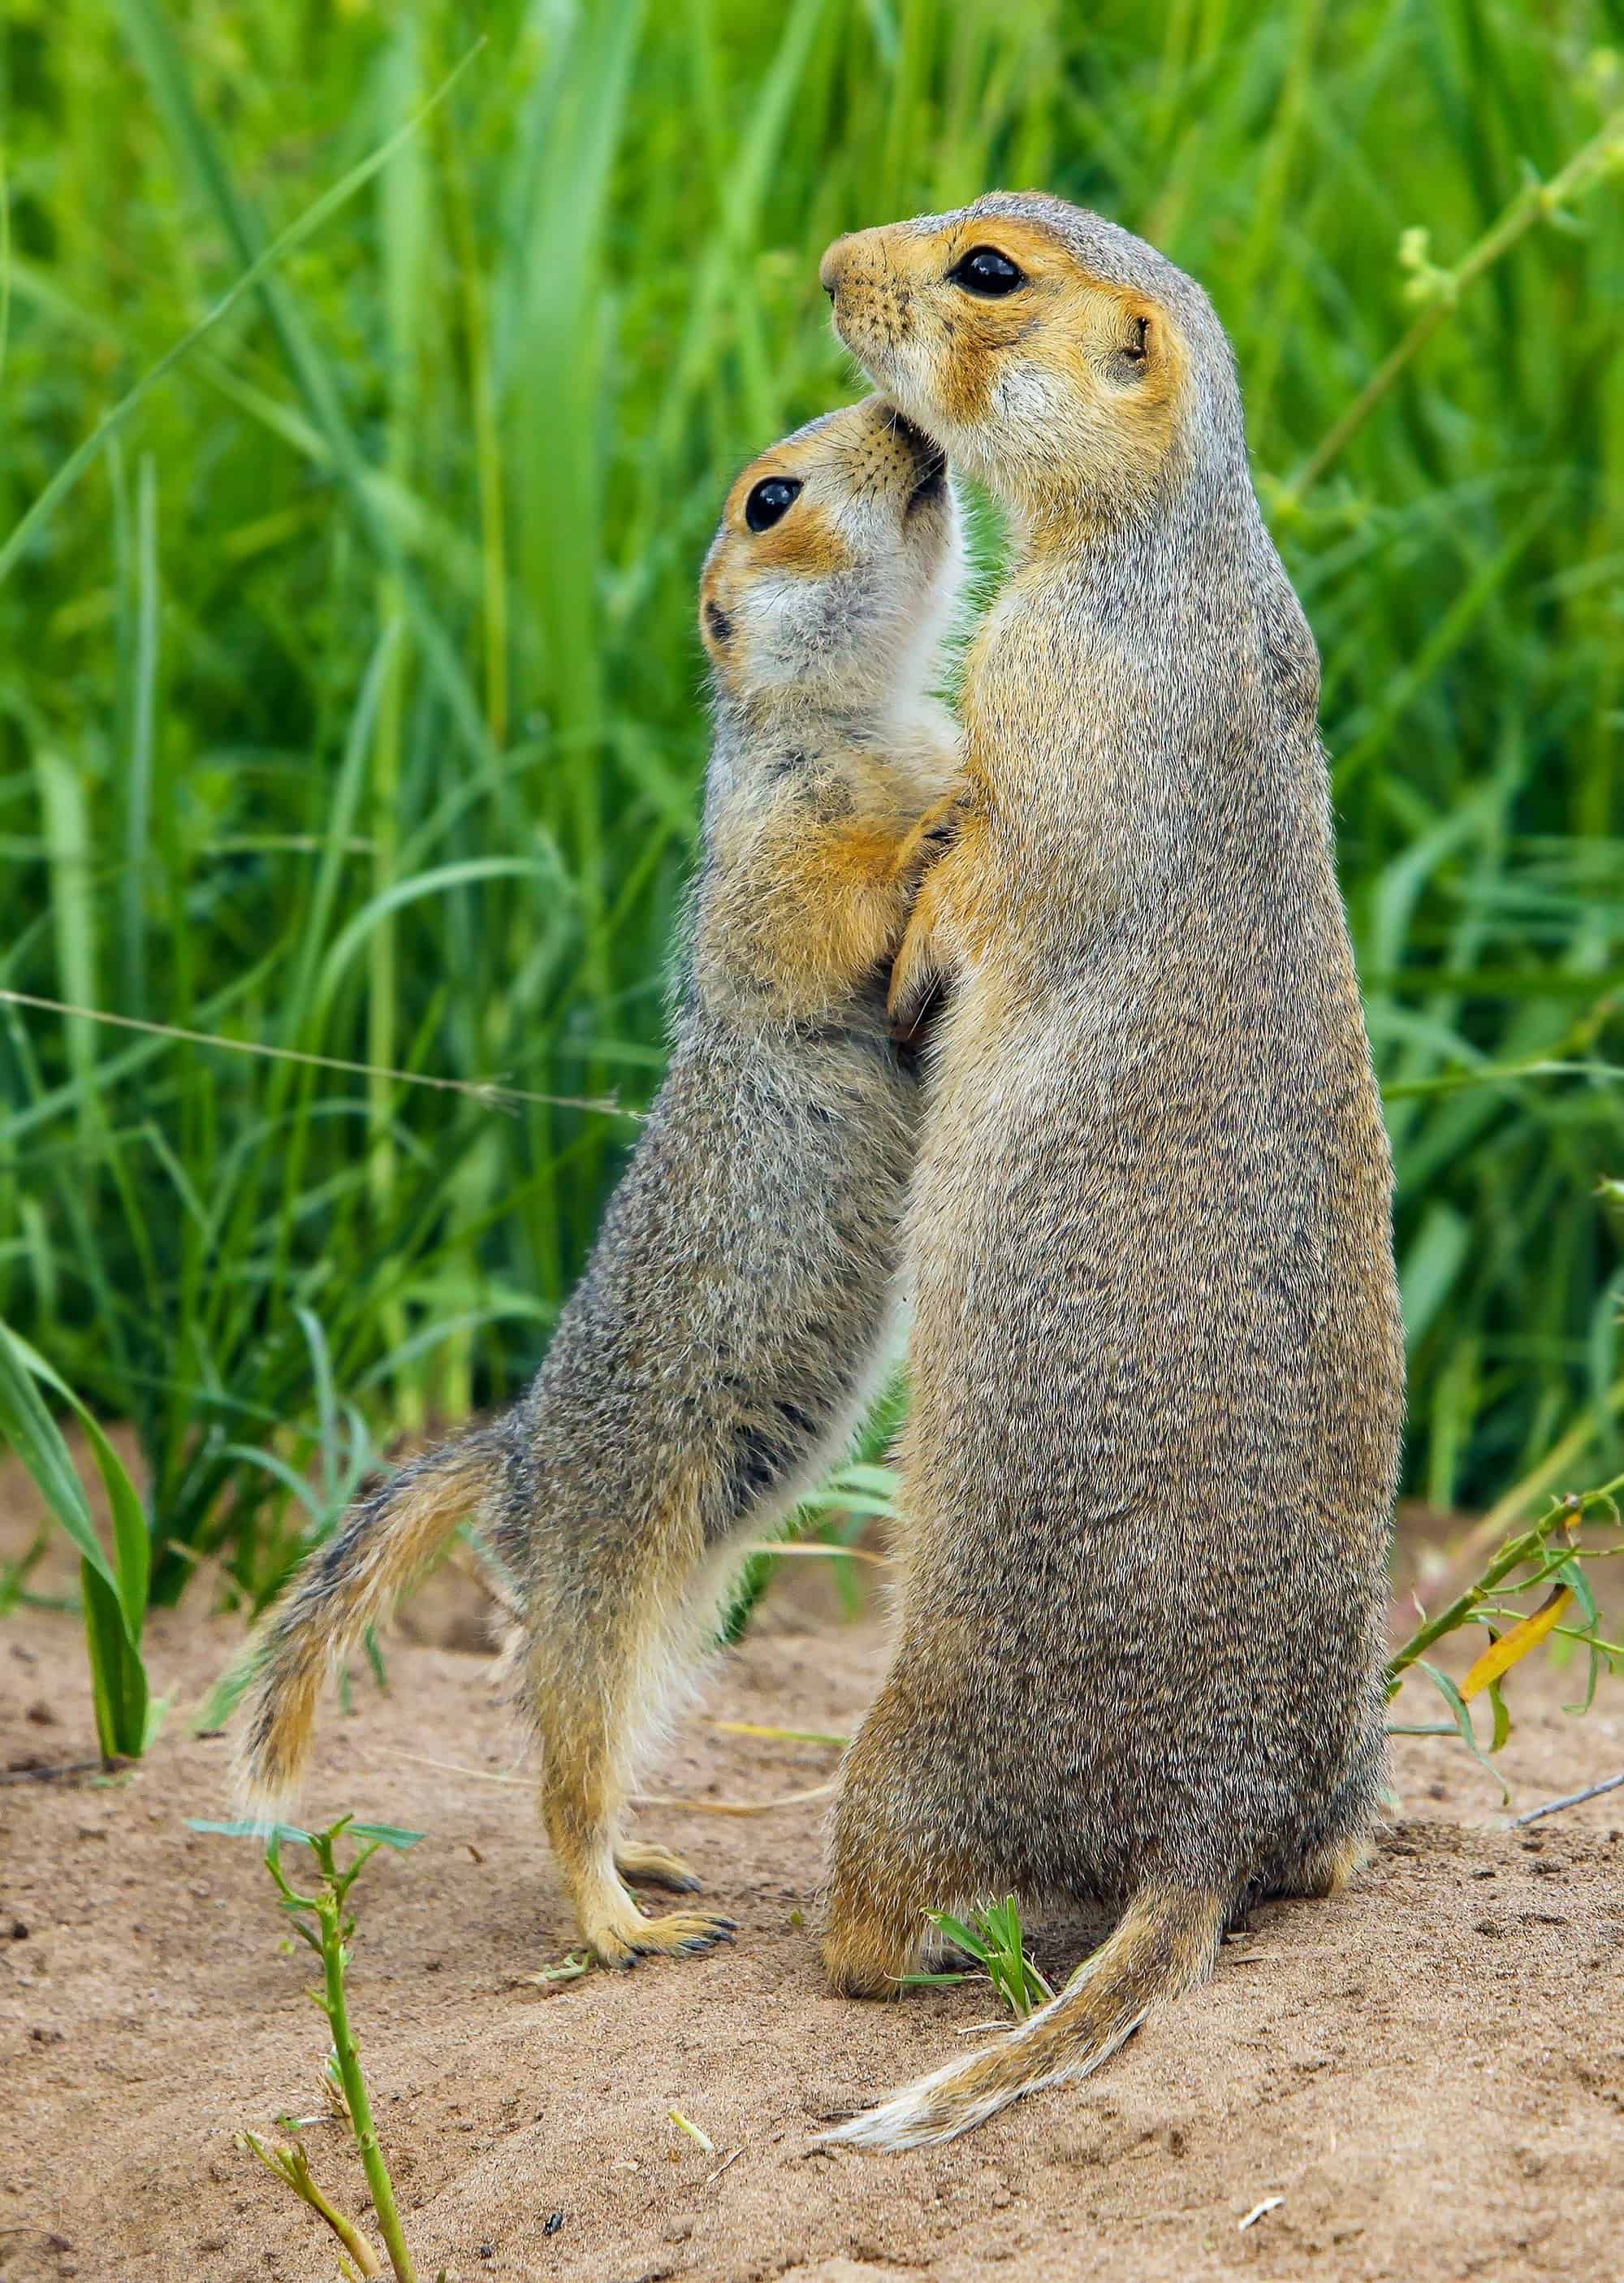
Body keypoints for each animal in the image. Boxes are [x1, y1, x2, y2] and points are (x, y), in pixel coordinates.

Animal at [236, 392, 973, 1963]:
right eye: (770, 499)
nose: (905, 415)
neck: (864, 715)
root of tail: (513, 1452)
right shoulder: (778, 854)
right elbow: (844, 911)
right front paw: (947, 816)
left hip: (693, 1597)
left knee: (619, 1749)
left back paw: (658, 1863)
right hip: (609, 1569)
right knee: (559, 1774)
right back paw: (621, 1920)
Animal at [818, 192, 1406, 2137]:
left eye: (990, 270)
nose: (829, 259)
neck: (1167, 556)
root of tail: (1208, 1813)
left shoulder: (1036, 685)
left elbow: (982, 874)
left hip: (911, 1741)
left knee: (881, 1927)